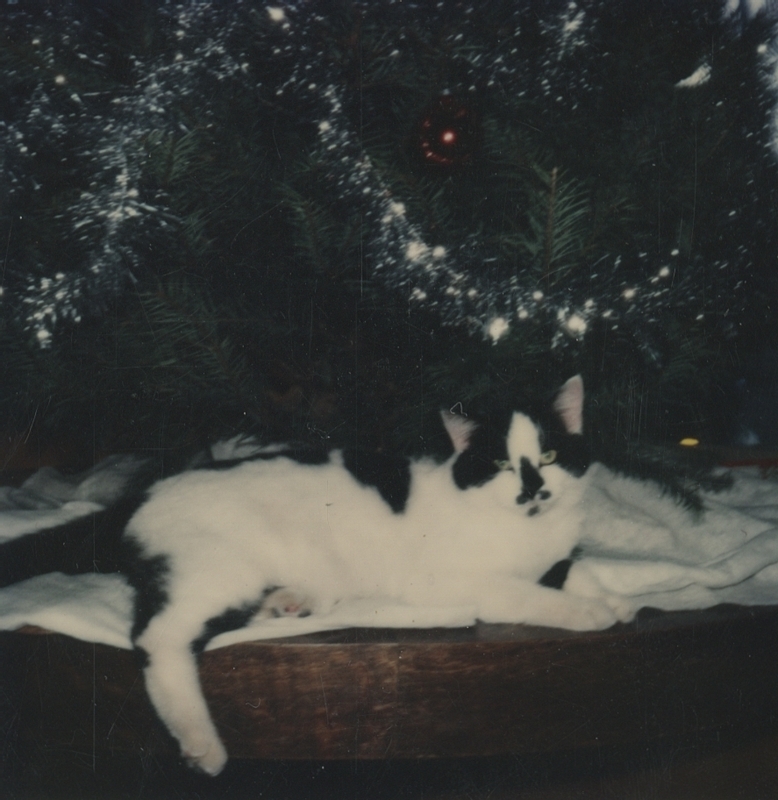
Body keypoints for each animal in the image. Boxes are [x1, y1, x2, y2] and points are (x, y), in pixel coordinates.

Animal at [1, 376, 632, 776]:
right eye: (501, 463)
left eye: (549, 457)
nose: (534, 489)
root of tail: (144, 494)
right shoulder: (469, 584)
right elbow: (532, 595)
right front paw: (593, 613)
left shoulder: (555, 556)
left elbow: (573, 569)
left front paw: (616, 598)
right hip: (212, 570)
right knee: (157, 638)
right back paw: (201, 742)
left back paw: (288, 600)